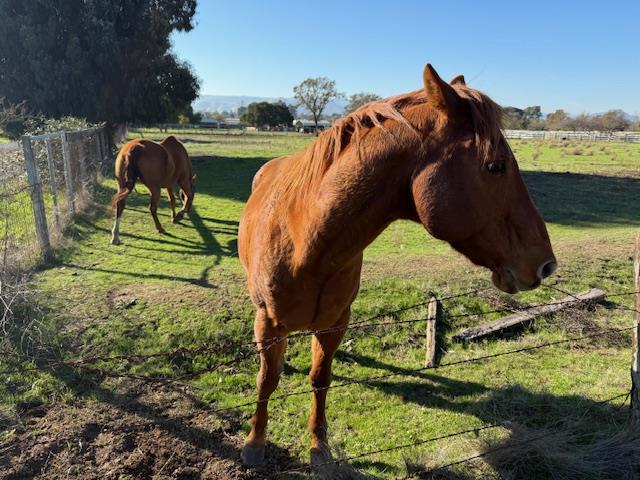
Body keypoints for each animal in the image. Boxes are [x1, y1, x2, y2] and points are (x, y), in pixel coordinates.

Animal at [238, 63, 556, 464]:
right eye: (495, 166)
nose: (546, 264)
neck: (306, 245)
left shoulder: (334, 324)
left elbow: (320, 379)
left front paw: (319, 446)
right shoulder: (268, 321)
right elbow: (266, 380)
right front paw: (254, 443)